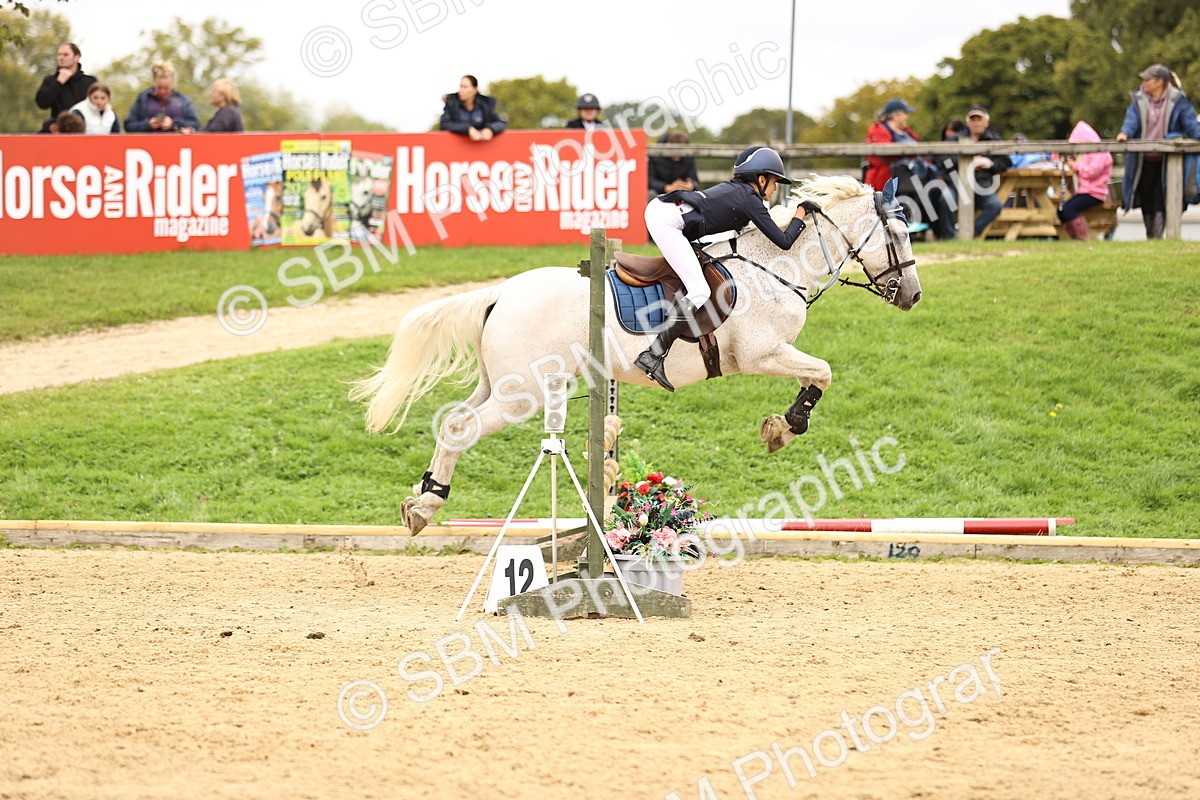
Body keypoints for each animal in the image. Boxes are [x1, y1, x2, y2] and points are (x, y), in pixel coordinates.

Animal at [350, 176, 921, 534]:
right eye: (898, 233)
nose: (913, 296)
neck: (776, 267)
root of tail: (501, 293)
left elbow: (818, 374)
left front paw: (781, 426)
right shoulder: (762, 353)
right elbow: (821, 372)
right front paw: (785, 427)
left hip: (500, 385)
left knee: (452, 420)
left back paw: (423, 498)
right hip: (522, 395)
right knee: (460, 428)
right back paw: (427, 506)